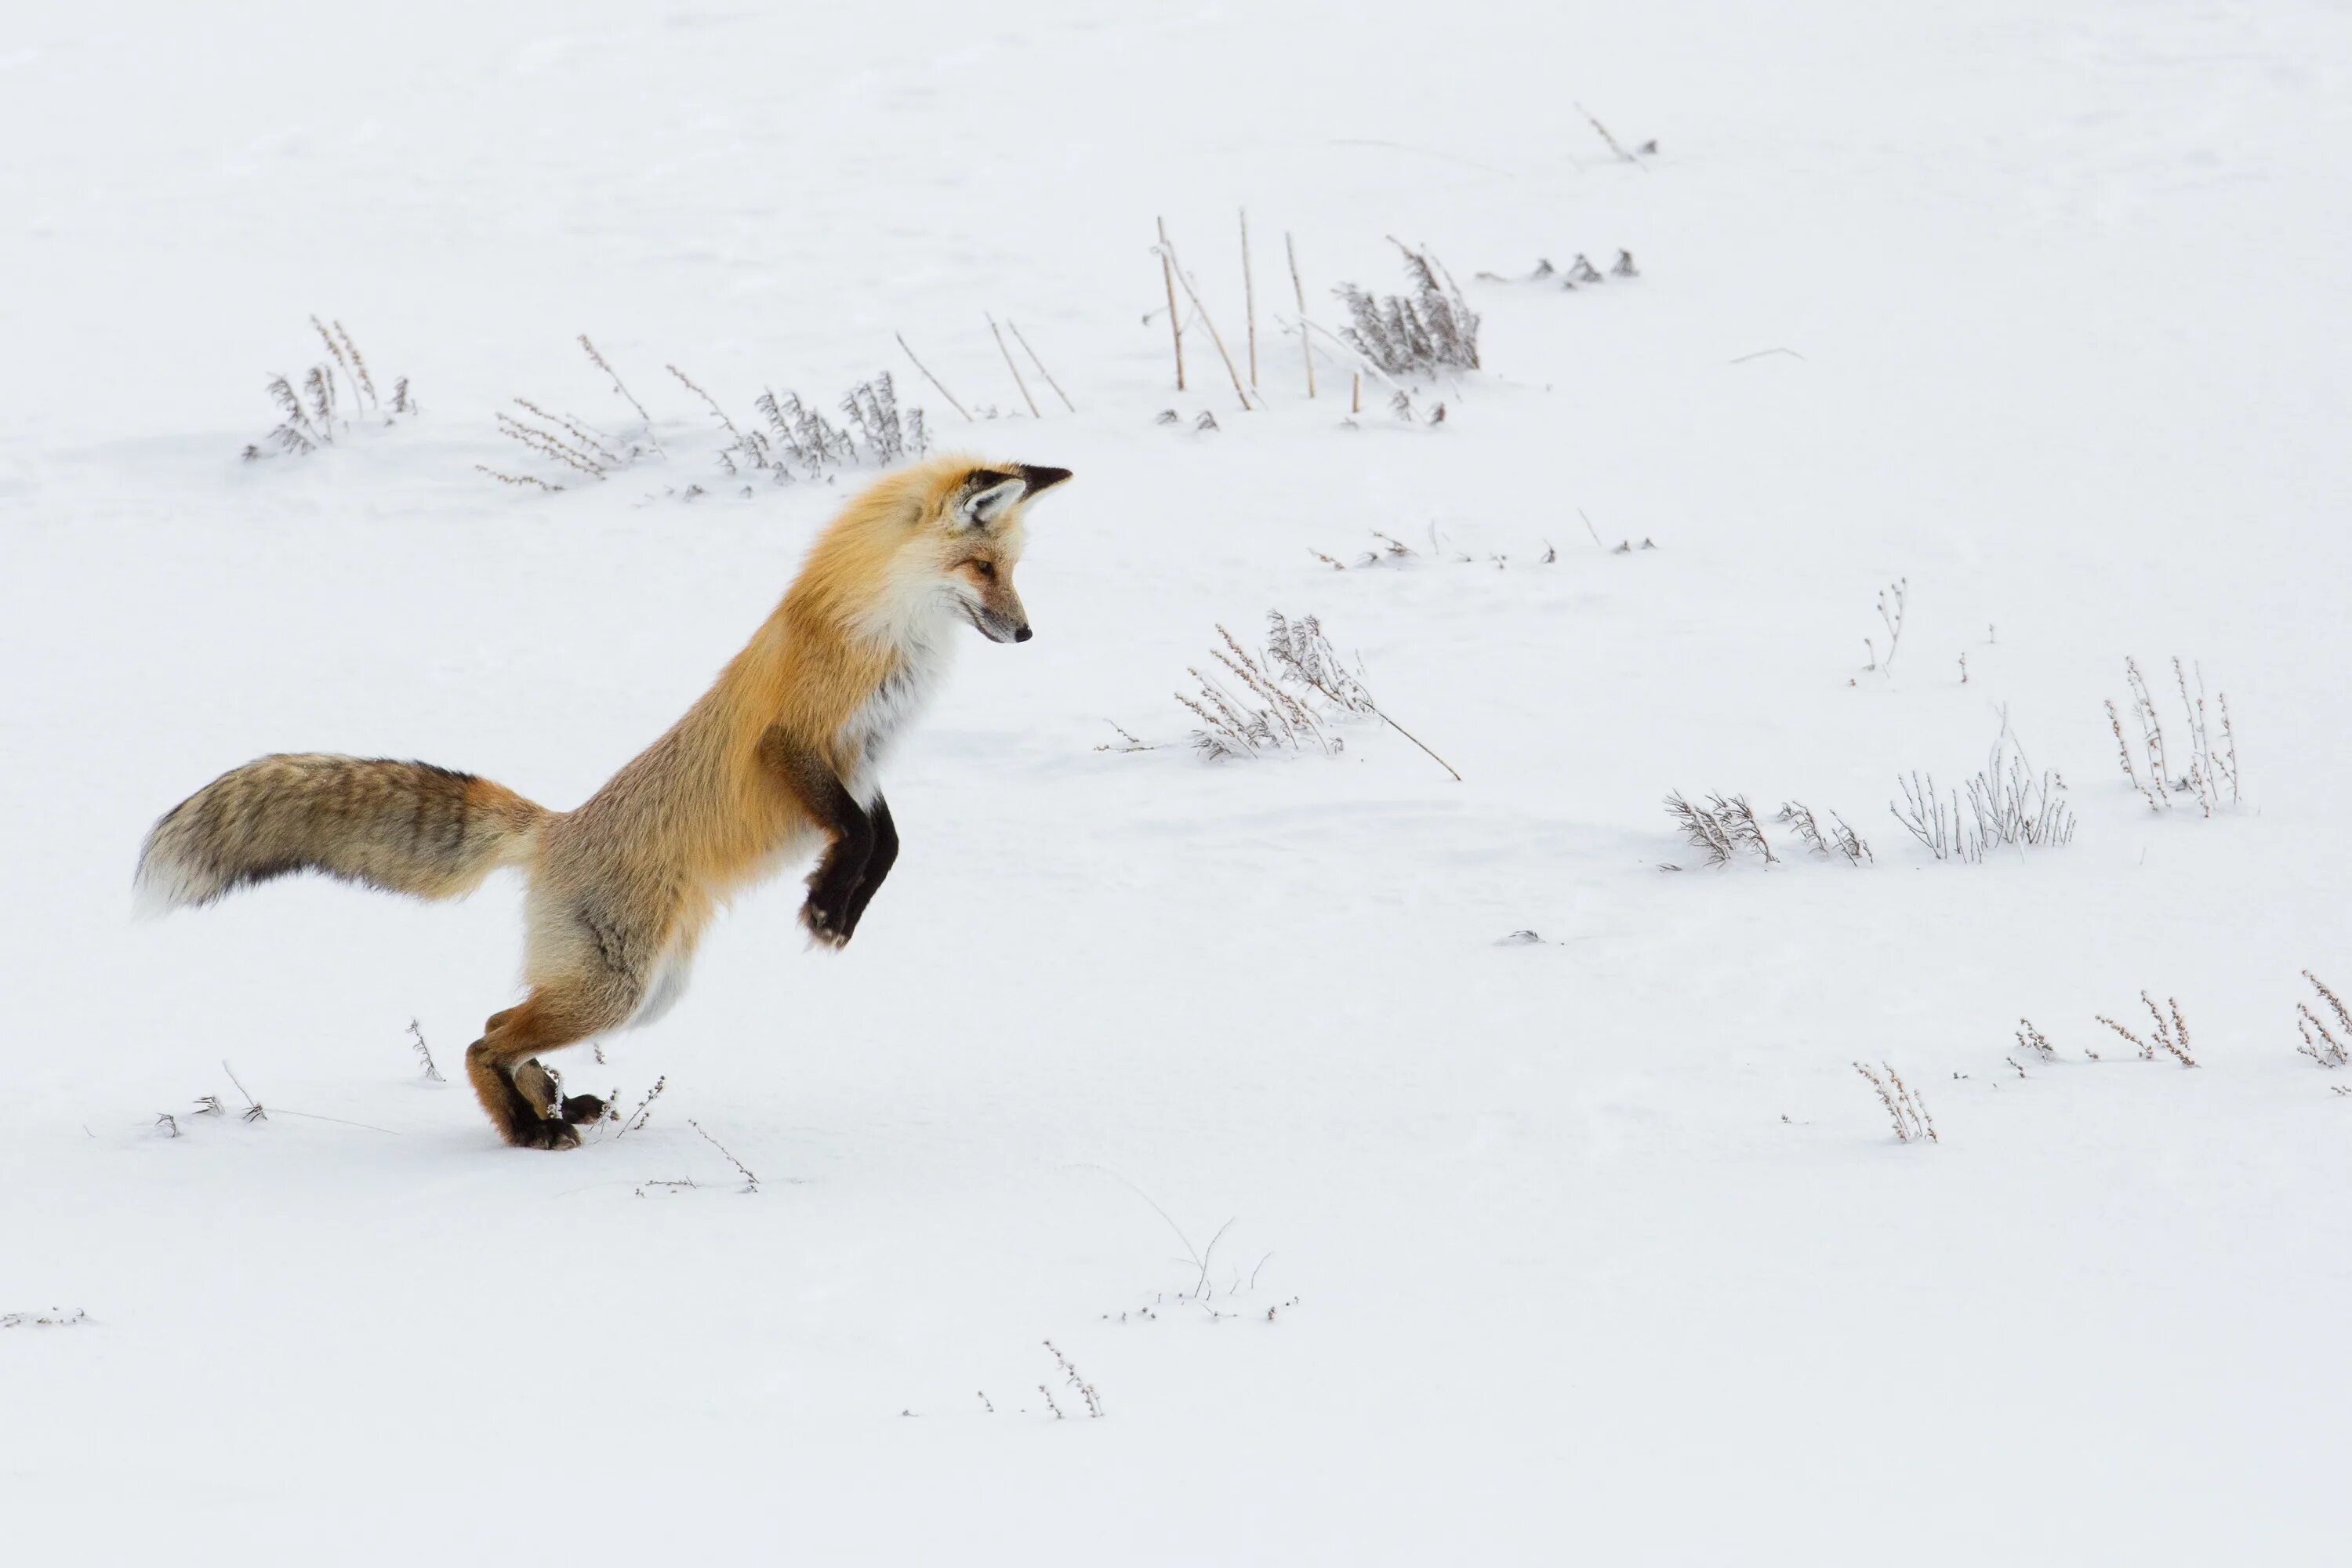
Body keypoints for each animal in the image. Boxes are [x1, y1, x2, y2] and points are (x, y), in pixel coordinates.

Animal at [137, 460, 1077, 1147]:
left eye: (1012, 570)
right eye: (982, 567)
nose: (1029, 632)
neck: (885, 634)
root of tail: (555, 828)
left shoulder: (865, 763)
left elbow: (885, 843)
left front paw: (835, 906)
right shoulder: (798, 745)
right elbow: (859, 836)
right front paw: (825, 905)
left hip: (648, 990)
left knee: (498, 1022)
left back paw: (551, 1106)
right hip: (618, 990)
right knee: (482, 1036)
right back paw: (529, 1128)